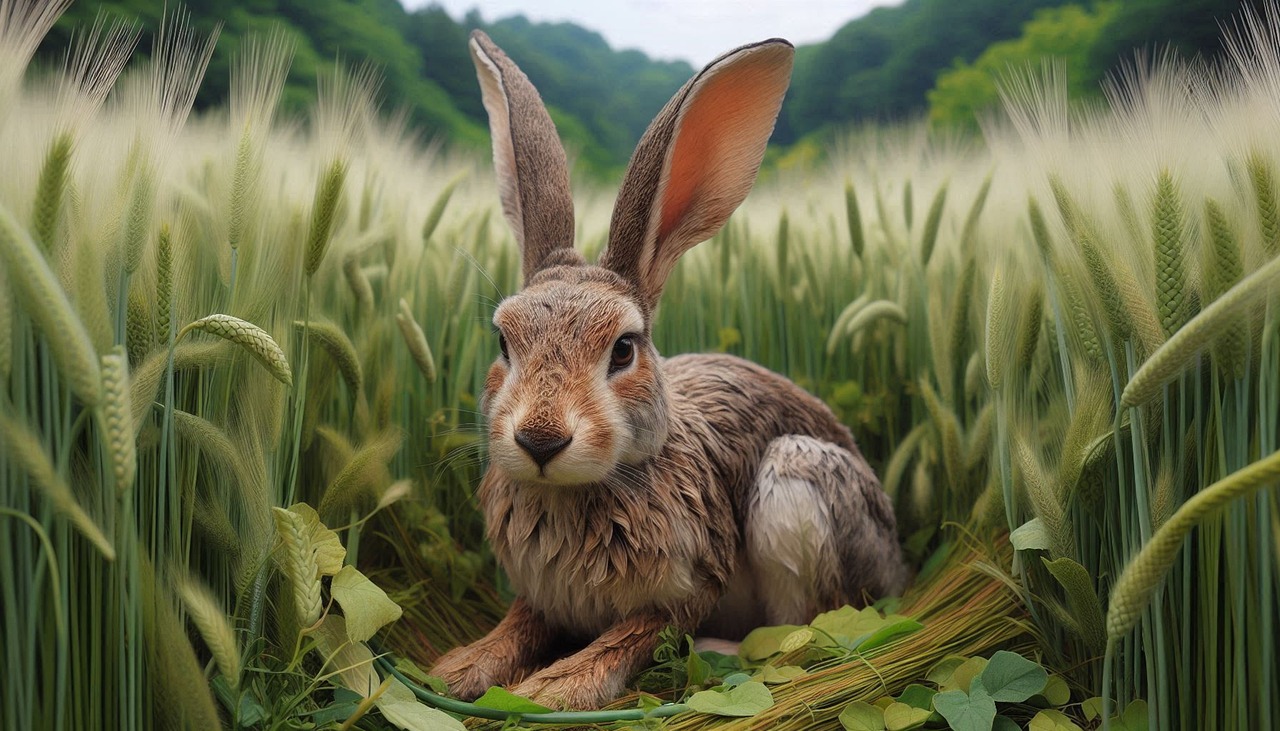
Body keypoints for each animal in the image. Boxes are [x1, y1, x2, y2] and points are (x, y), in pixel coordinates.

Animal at [430, 30, 907, 710]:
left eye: (624, 349)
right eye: (503, 341)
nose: (540, 440)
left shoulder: (689, 587)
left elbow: (635, 634)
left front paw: (554, 689)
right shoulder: (541, 595)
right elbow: (518, 624)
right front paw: (459, 669)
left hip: (800, 483)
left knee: (810, 631)